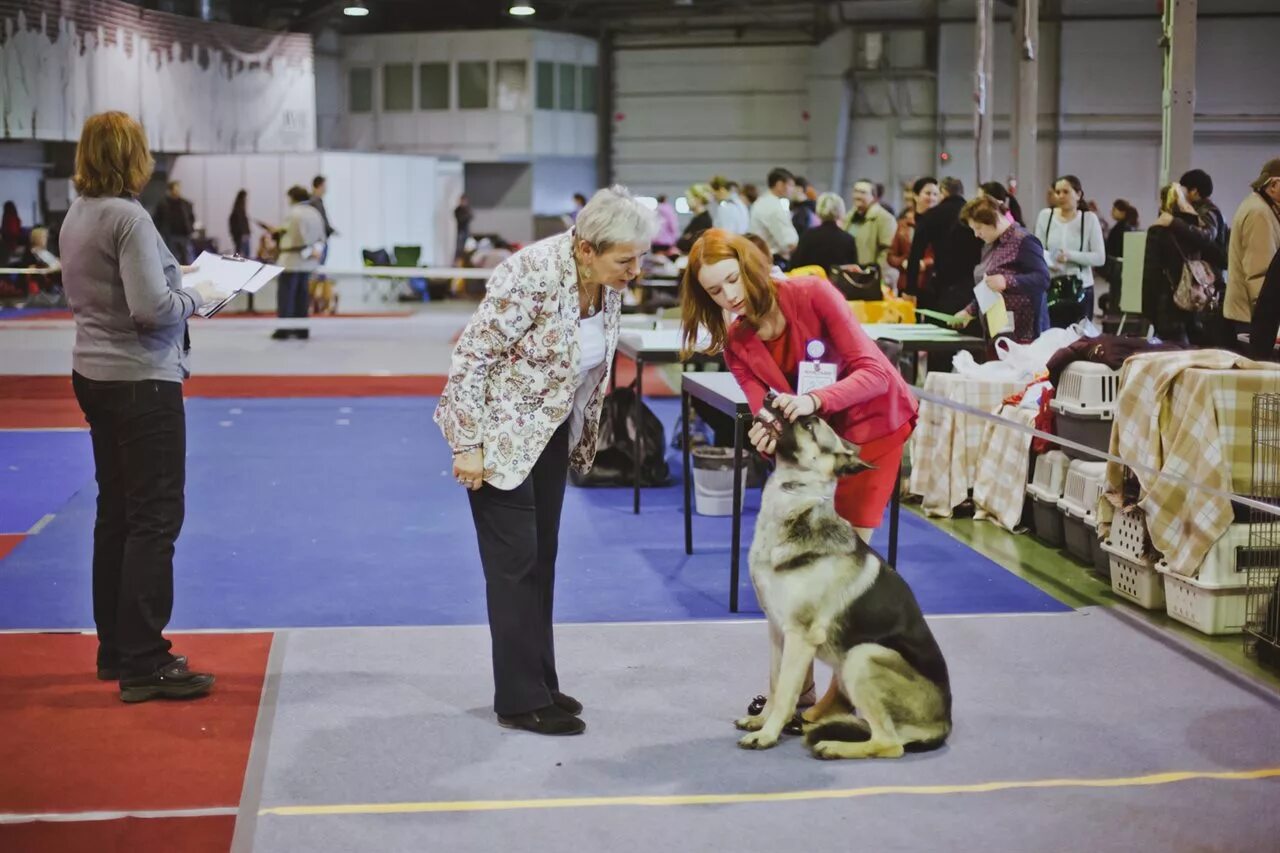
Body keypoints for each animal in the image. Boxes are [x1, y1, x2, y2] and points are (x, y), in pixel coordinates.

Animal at [742, 394, 952, 758]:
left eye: (809, 422)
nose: (770, 396)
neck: (797, 499)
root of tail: (945, 724)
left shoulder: (800, 636)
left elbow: (785, 693)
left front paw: (767, 734)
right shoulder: (776, 630)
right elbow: (774, 683)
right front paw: (762, 721)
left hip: (862, 656)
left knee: (889, 744)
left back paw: (834, 746)